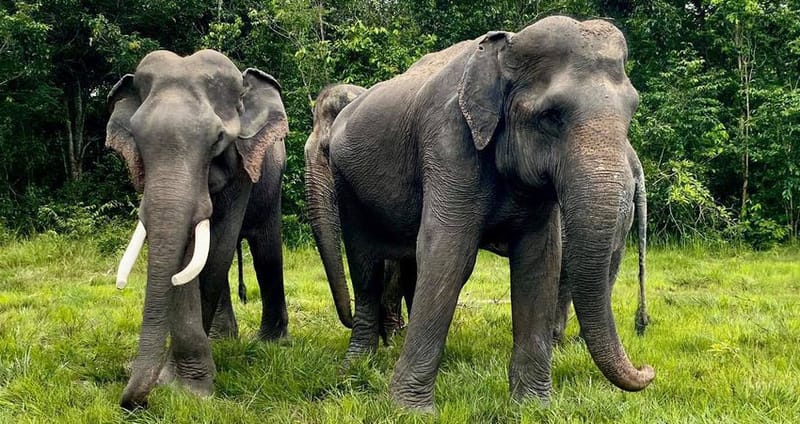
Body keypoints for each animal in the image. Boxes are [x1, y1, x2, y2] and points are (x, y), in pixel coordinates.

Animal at [106, 49, 289, 409]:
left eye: (218, 140)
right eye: (137, 139)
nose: (132, 403)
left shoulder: (241, 169)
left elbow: (214, 250)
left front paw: (189, 389)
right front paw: (179, 382)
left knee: (265, 249)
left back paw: (270, 343)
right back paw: (222, 339)